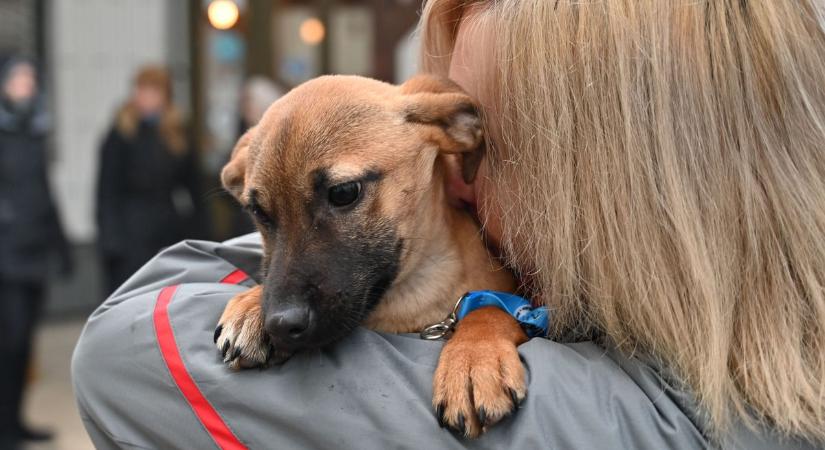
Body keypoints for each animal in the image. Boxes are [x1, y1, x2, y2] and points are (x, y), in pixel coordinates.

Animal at [216, 74, 528, 436]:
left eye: (343, 192)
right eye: (258, 212)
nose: (280, 324)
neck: (411, 296)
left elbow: (491, 307)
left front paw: (475, 357)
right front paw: (250, 305)